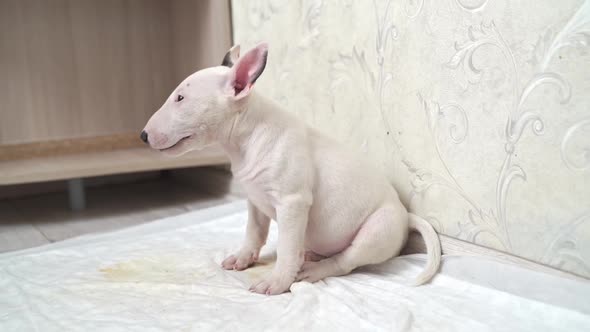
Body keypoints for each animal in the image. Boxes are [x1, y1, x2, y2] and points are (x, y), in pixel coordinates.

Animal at [142, 42, 440, 294]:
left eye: (180, 98)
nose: (143, 136)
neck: (246, 138)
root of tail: (405, 216)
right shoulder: (254, 198)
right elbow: (254, 231)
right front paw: (242, 258)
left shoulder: (293, 203)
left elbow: (286, 247)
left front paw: (276, 282)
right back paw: (309, 254)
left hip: (377, 230)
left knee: (345, 260)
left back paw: (312, 269)